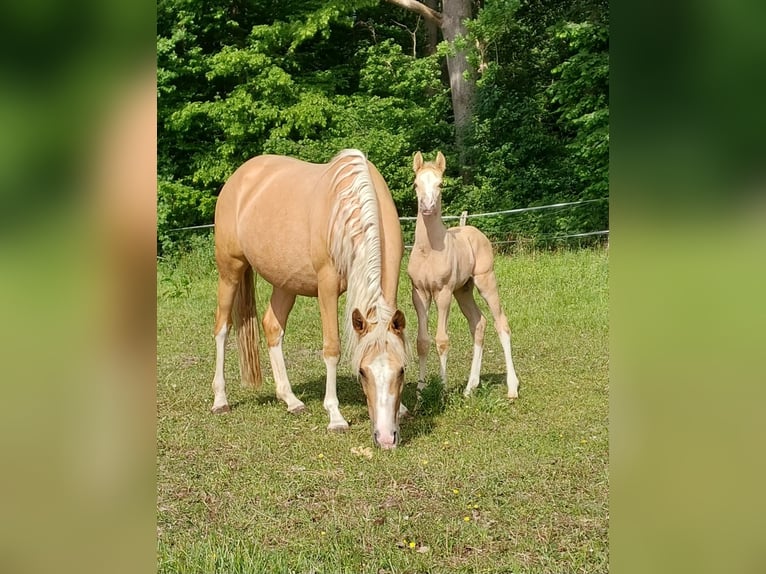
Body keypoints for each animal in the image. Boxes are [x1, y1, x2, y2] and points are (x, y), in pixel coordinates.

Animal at [211, 149, 409, 449]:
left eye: (401, 371)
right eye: (362, 372)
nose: (386, 438)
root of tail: (239, 177)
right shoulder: (326, 286)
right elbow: (332, 349)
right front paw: (335, 417)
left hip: (285, 282)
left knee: (272, 327)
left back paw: (291, 400)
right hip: (230, 271)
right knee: (222, 329)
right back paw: (220, 400)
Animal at [407, 151, 520, 399]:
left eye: (440, 184)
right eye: (416, 184)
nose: (427, 206)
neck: (428, 250)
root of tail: (475, 232)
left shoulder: (443, 292)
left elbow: (441, 340)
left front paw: (442, 388)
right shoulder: (419, 293)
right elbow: (422, 341)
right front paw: (420, 391)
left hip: (485, 282)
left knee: (501, 323)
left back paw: (512, 388)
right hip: (463, 290)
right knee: (479, 323)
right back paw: (470, 387)